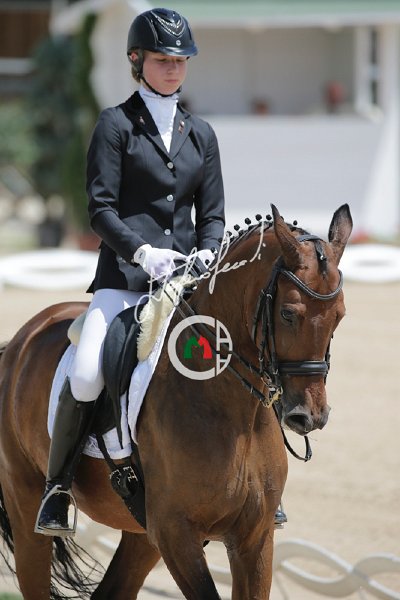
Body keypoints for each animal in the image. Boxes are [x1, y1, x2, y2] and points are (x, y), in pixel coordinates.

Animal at [0, 204, 352, 600]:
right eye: (289, 313)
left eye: (340, 315)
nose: (309, 416)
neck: (232, 413)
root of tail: (21, 340)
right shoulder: (176, 534)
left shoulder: (255, 537)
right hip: (26, 502)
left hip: (141, 535)